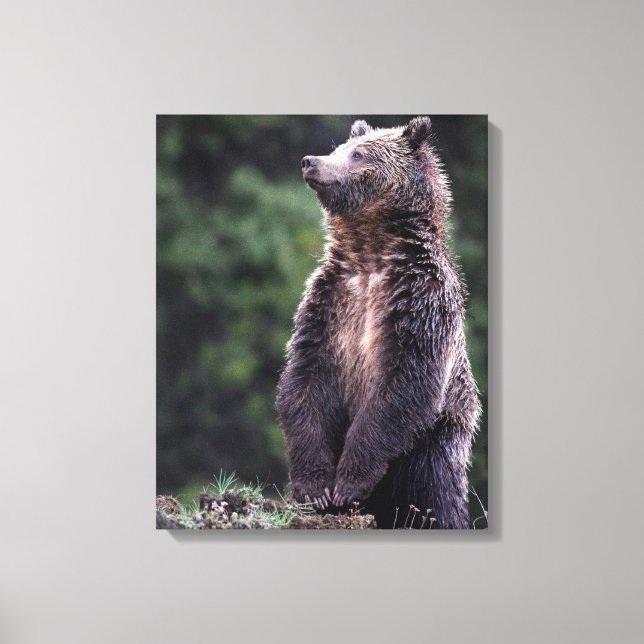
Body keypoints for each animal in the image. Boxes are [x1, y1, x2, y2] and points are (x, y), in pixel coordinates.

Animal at [276, 117, 481, 529]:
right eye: (338, 148)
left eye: (358, 154)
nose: (310, 161)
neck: (370, 252)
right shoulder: (329, 303)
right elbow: (304, 379)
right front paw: (316, 489)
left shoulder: (419, 303)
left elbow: (404, 383)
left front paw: (348, 483)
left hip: (435, 444)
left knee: (435, 494)